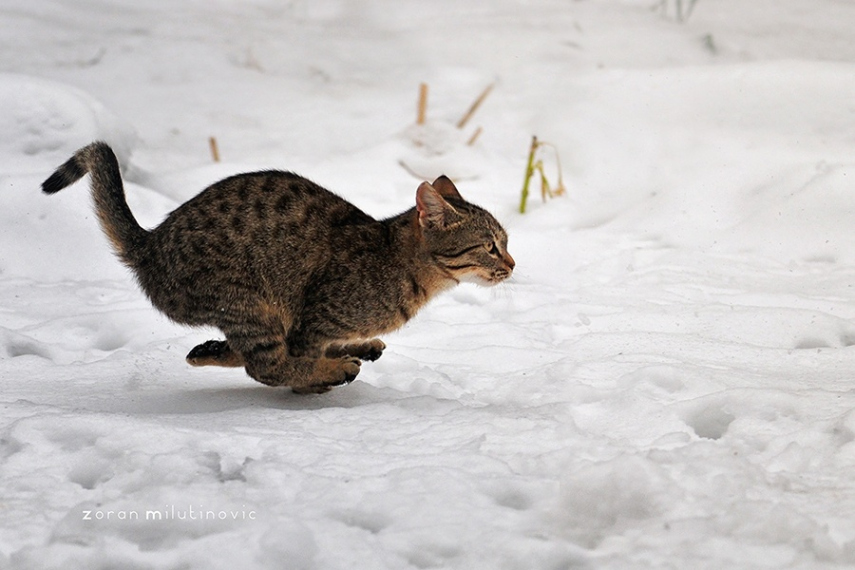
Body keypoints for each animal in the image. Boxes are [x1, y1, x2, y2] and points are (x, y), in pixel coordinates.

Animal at [41, 140, 516, 392]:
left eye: (506, 242)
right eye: (490, 247)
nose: (513, 263)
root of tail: (150, 243)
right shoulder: (316, 314)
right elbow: (297, 357)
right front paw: (322, 374)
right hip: (250, 299)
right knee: (265, 365)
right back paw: (335, 368)